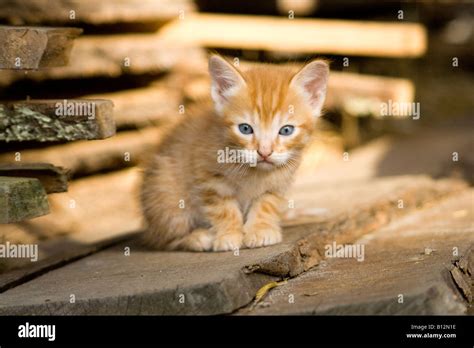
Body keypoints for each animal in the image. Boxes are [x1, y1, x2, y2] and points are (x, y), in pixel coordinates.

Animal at [139, 55, 328, 251]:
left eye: (286, 130)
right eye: (245, 129)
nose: (264, 152)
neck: (254, 172)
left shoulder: (279, 182)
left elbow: (267, 203)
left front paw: (260, 229)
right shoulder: (209, 178)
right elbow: (223, 208)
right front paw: (229, 235)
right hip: (165, 194)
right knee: (162, 238)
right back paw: (198, 237)